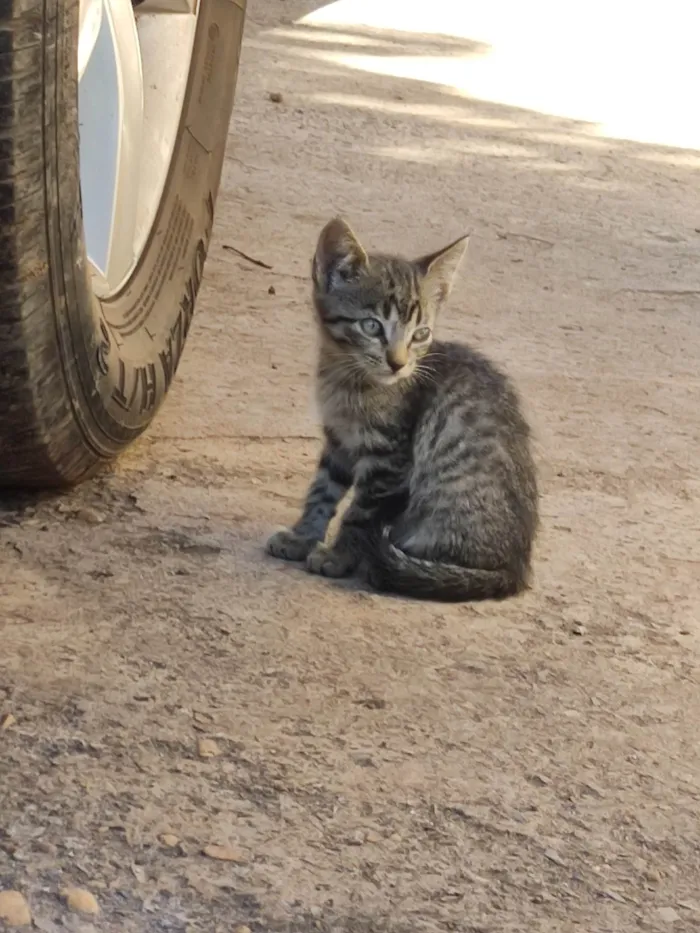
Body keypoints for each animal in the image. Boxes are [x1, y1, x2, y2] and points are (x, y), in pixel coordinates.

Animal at [266, 218, 540, 600]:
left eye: (420, 334)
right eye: (371, 326)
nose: (397, 364)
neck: (347, 380)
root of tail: (514, 570)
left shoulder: (389, 460)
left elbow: (360, 514)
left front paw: (338, 557)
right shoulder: (339, 442)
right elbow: (321, 491)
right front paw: (302, 537)